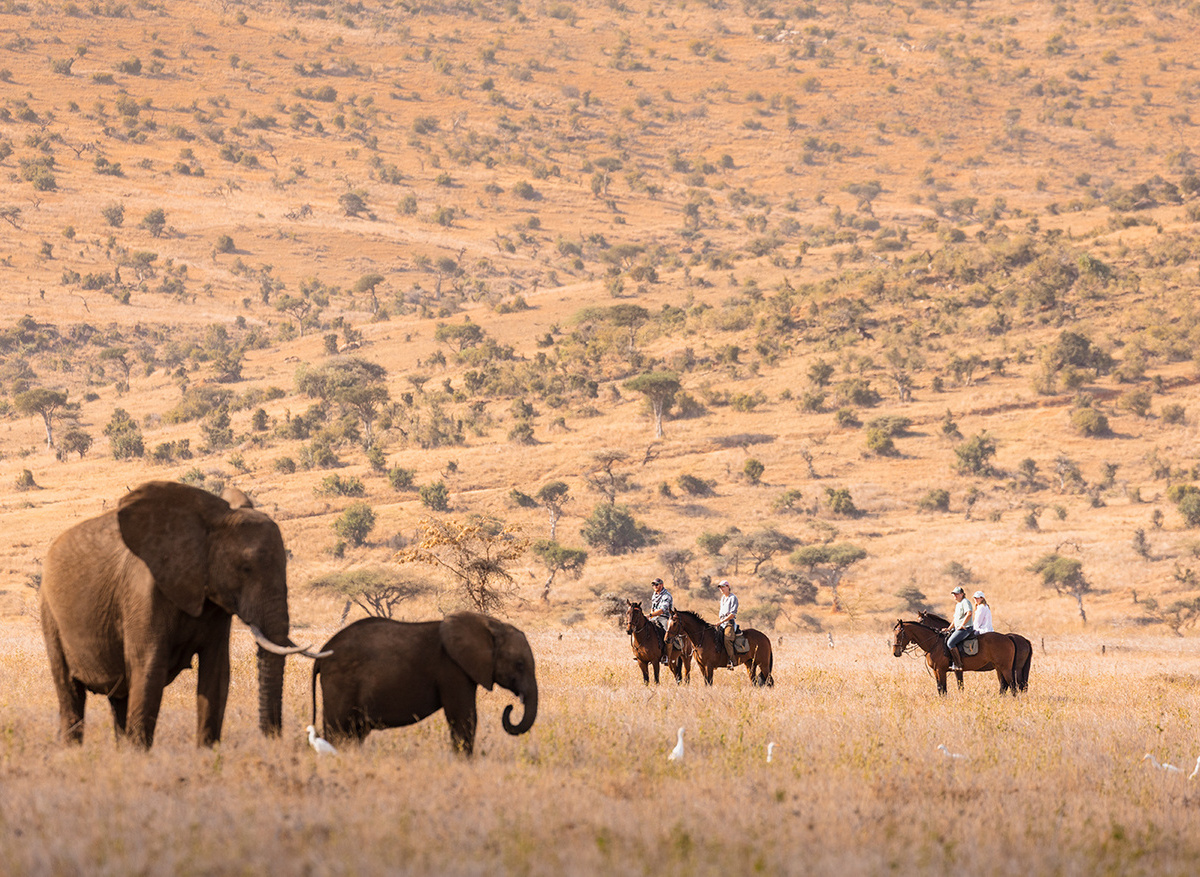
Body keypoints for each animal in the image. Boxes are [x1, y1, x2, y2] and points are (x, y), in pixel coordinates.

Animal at [40, 480, 321, 748]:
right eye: (245, 568)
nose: (271, 740)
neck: (213, 521)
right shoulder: (142, 591)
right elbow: (149, 669)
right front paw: (140, 759)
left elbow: (216, 674)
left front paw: (207, 756)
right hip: (50, 613)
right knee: (70, 694)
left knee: (119, 699)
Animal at [311, 612, 537, 755]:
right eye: (519, 665)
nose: (511, 707)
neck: (488, 624)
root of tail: (321, 655)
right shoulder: (452, 668)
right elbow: (463, 717)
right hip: (341, 682)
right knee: (338, 728)